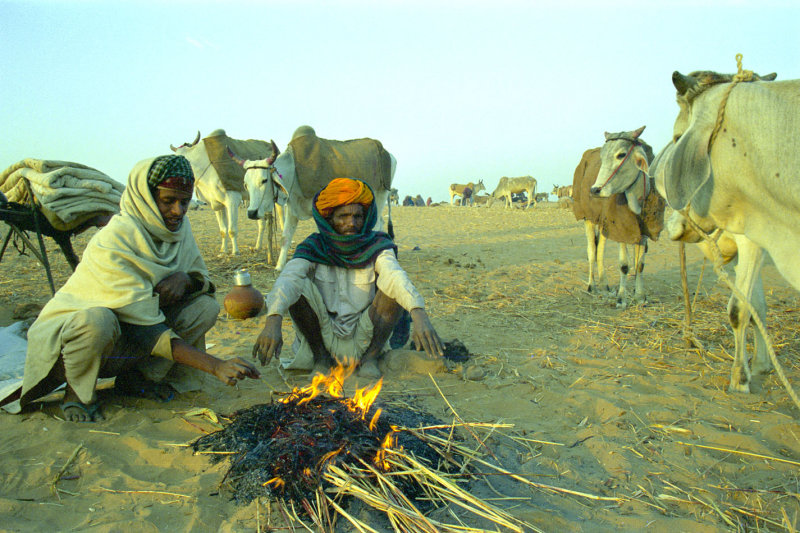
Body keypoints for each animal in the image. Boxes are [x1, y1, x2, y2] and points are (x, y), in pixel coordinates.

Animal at [230, 124, 396, 270]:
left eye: (264, 180)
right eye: (245, 184)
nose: (252, 213)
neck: (294, 170)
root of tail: (387, 153)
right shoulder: (292, 208)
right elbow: (285, 237)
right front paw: (279, 266)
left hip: (380, 196)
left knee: (376, 224)